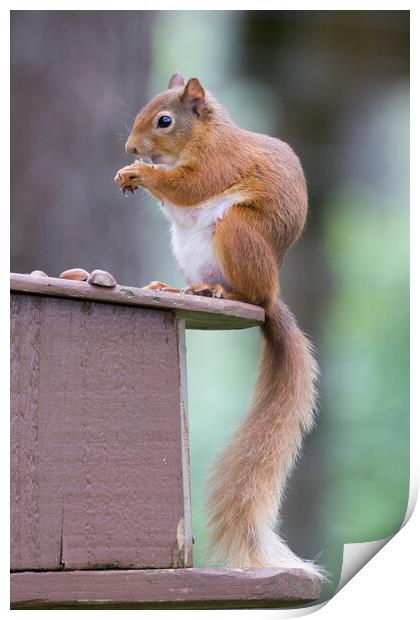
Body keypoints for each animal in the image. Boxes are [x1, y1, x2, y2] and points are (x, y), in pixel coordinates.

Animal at [113, 74, 324, 580]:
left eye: (164, 120)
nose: (131, 148)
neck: (205, 135)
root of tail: (271, 291)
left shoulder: (219, 161)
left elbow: (190, 186)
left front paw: (140, 173)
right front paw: (129, 173)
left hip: (238, 233)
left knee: (248, 295)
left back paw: (224, 294)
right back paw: (177, 286)